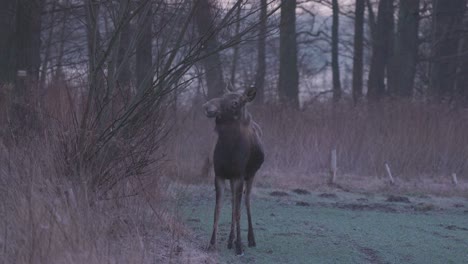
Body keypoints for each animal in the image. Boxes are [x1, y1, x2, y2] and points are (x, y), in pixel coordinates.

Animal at [203, 86, 266, 256]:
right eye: (222, 95)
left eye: (235, 103)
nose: (207, 106)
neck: (229, 151)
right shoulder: (219, 174)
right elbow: (217, 210)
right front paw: (211, 244)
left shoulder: (239, 175)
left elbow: (238, 212)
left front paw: (239, 247)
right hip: (232, 178)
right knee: (233, 203)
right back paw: (231, 240)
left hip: (251, 175)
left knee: (246, 201)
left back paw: (250, 239)